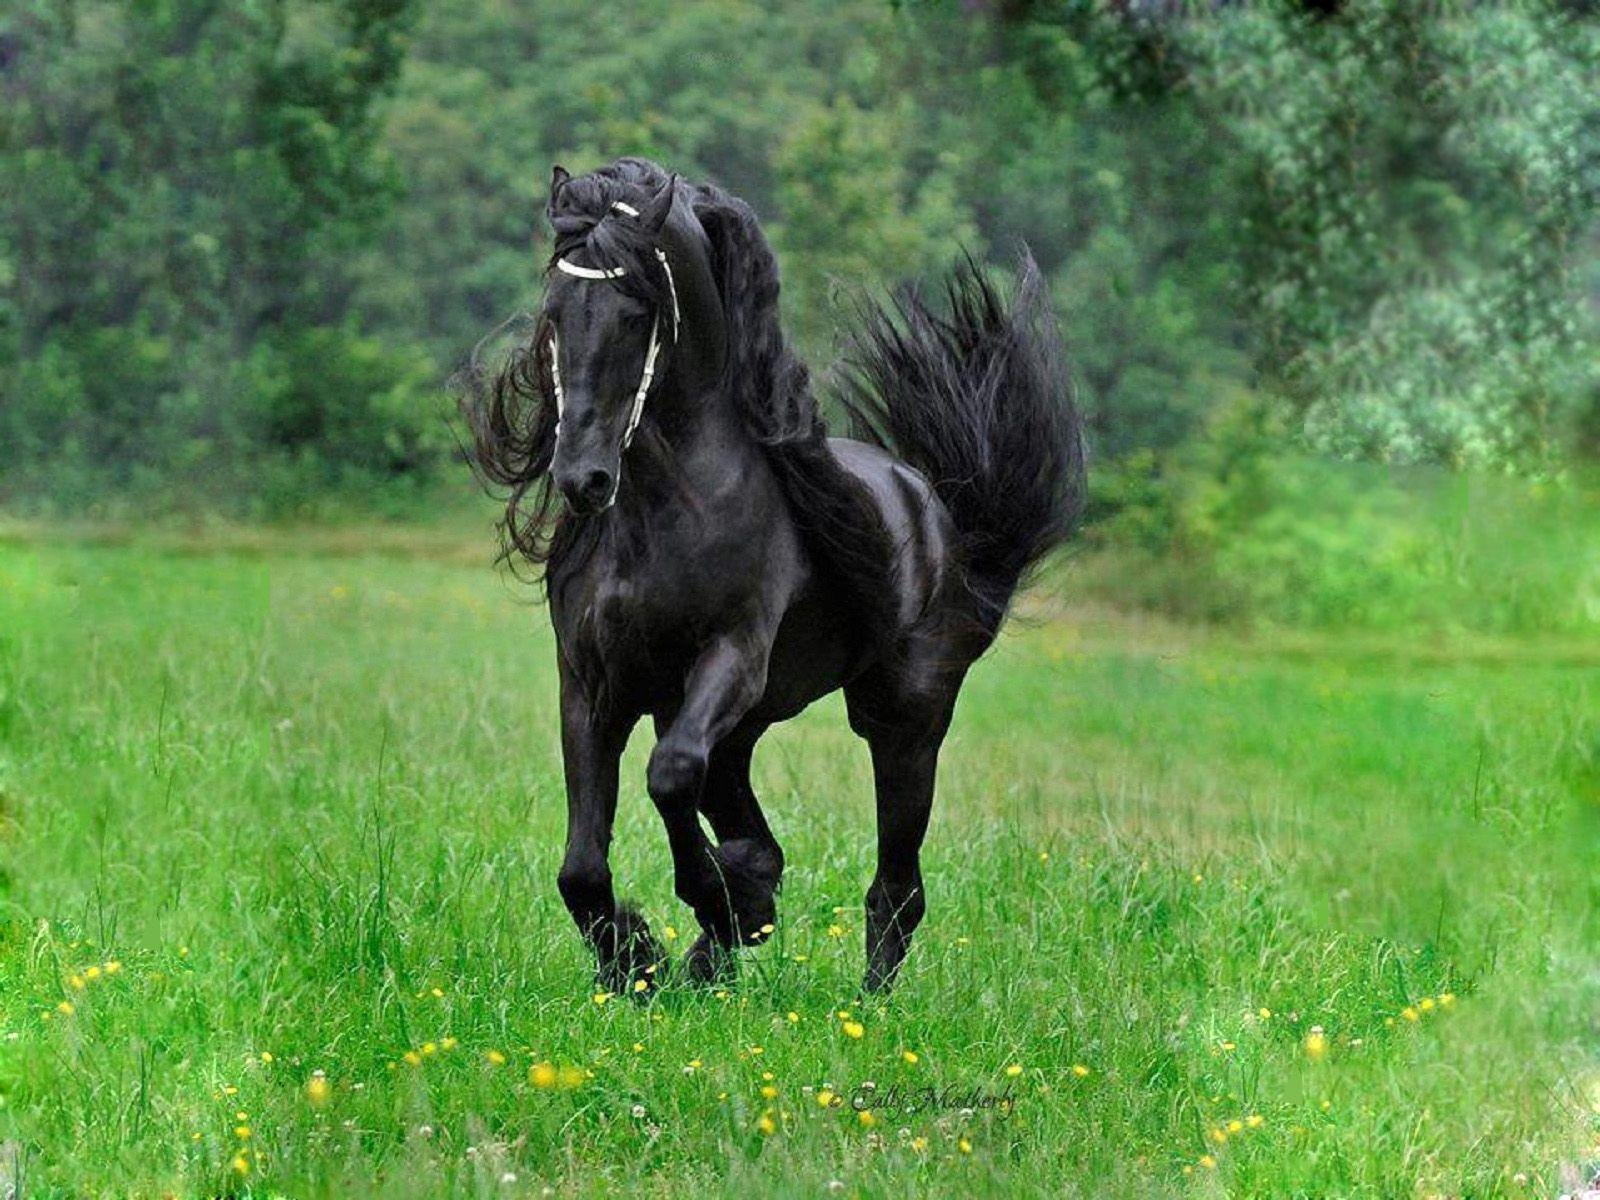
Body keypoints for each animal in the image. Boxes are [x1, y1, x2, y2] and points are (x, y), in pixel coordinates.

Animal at [461, 157, 1084, 994]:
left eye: (634, 311)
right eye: (555, 310)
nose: (583, 480)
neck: (667, 512)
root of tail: (931, 502)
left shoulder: (731, 658)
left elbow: (668, 775)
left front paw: (705, 908)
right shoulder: (592, 686)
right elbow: (582, 867)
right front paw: (638, 961)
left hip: (902, 720)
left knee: (896, 885)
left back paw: (864, 998)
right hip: (743, 731)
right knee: (760, 832)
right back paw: (722, 942)